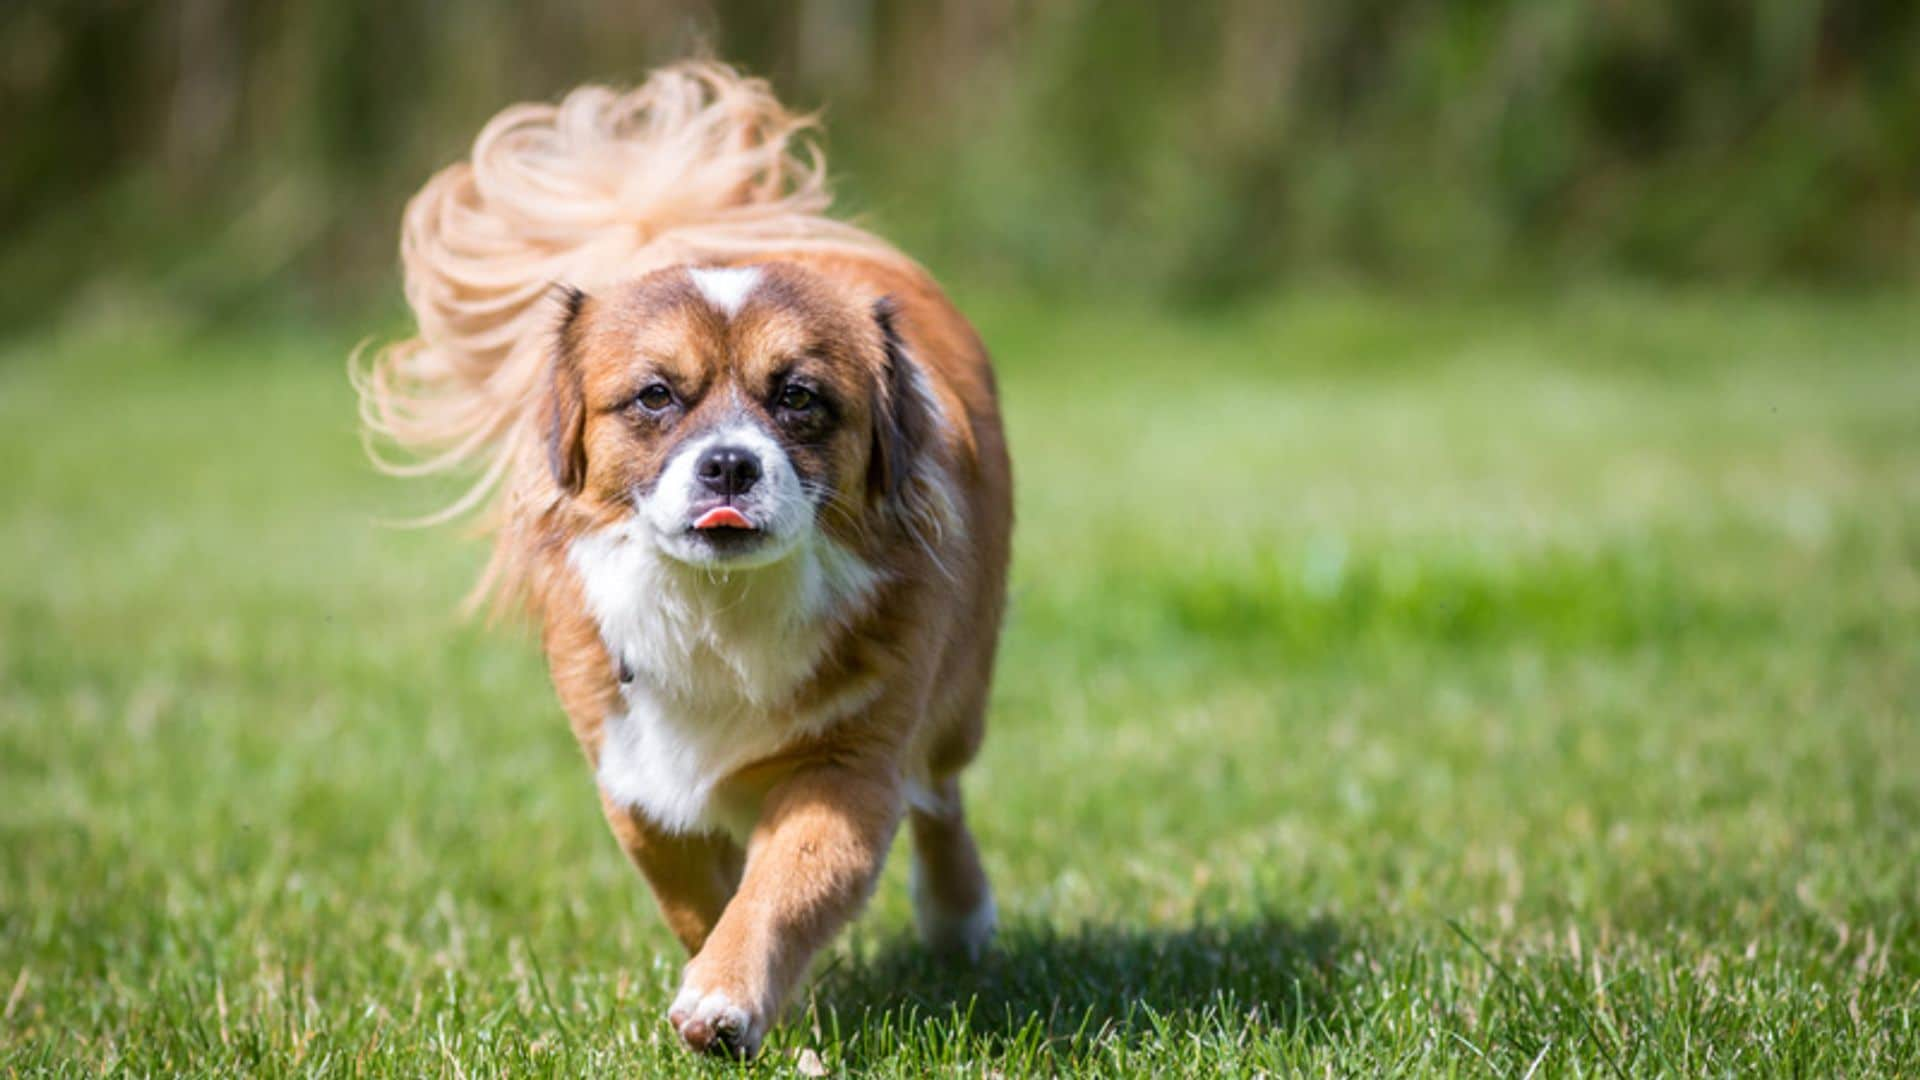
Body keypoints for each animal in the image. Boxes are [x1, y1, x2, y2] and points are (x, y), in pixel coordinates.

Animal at [362, 61, 1021, 1053]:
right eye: (654, 398)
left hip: (959, 698)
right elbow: (695, 896)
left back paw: (958, 918)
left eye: (799, 398)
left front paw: (725, 998)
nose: (730, 462)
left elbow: (781, 887)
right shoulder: (637, 779)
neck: (721, 607)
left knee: (941, 794)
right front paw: (748, 987)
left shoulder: (847, 770)